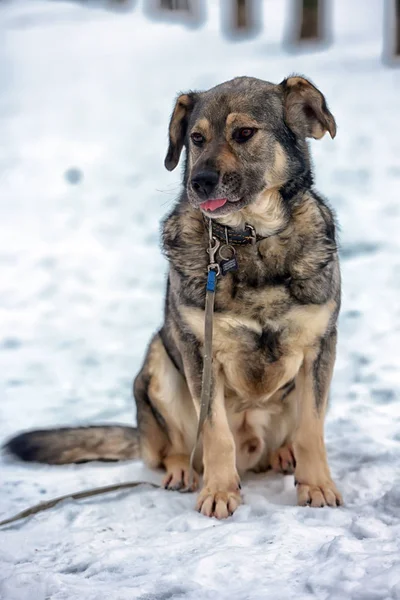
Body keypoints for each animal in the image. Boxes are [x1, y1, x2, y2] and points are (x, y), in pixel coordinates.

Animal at [5, 74, 344, 516]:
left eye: (244, 133)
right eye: (196, 139)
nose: (199, 182)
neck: (248, 240)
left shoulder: (319, 348)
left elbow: (311, 429)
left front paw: (317, 484)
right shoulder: (200, 350)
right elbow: (215, 433)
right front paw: (219, 491)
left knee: (282, 441)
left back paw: (283, 455)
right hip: (157, 365)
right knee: (176, 449)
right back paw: (183, 471)